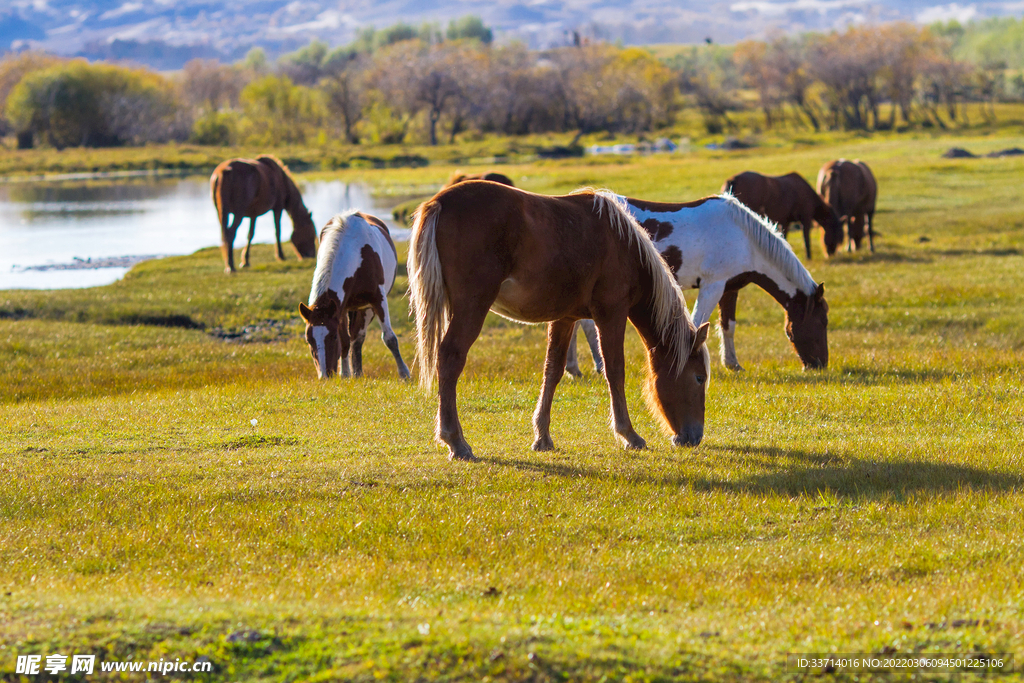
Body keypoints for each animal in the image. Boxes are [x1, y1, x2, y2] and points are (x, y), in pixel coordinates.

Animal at [296, 210, 407, 382]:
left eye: (333, 337)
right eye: (309, 339)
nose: (325, 376)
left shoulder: (378, 299)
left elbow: (390, 338)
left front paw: (404, 374)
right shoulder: (339, 308)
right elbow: (345, 341)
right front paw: (346, 374)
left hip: (367, 308)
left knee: (358, 337)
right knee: (354, 339)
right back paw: (356, 373)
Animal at [407, 179, 712, 462]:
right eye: (699, 377)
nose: (694, 437)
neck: (623, 246)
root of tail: (440, 201)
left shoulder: (565, 318)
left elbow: (552, 371)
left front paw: (542, 437)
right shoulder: (611, 313)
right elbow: (614, 370)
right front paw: (629, 435)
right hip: (472, 306)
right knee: (450, 358)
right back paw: (456, 441)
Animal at [565, 192, 827, 374]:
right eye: (822, 322)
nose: (820, 364)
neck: (742, 235)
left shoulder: (729, 289)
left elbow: (728, 326)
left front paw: (733, 364)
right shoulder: (712, 286)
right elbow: (697, 322)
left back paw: (574, 368)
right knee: (586, 326)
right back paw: (595, 366)